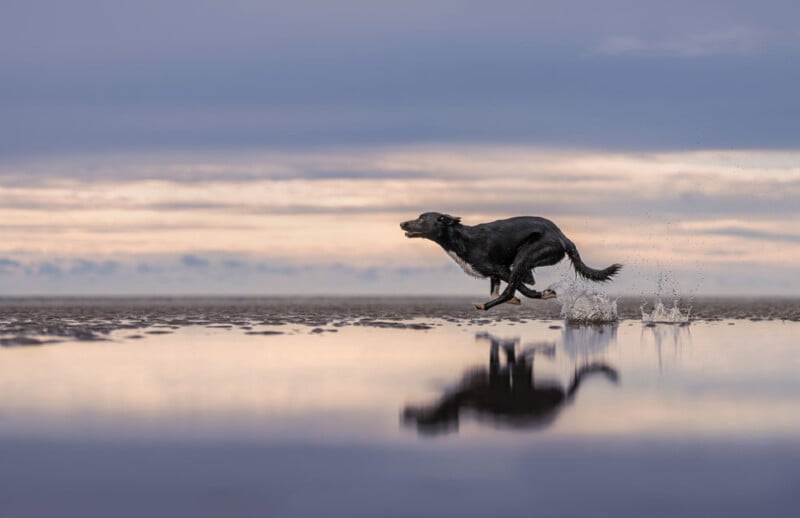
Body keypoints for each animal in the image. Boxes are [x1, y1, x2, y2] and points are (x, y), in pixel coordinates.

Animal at [404, 213, 620, 310]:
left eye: (422, 219)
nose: (402, 223)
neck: (461, 238)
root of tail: (563, 237)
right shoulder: (496, 272)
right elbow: (497, 289)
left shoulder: (500, 268)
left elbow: (516, 289)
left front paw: (539, 294)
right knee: (524, 279)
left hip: (525, 255)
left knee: (516, 284)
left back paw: (486, 306)